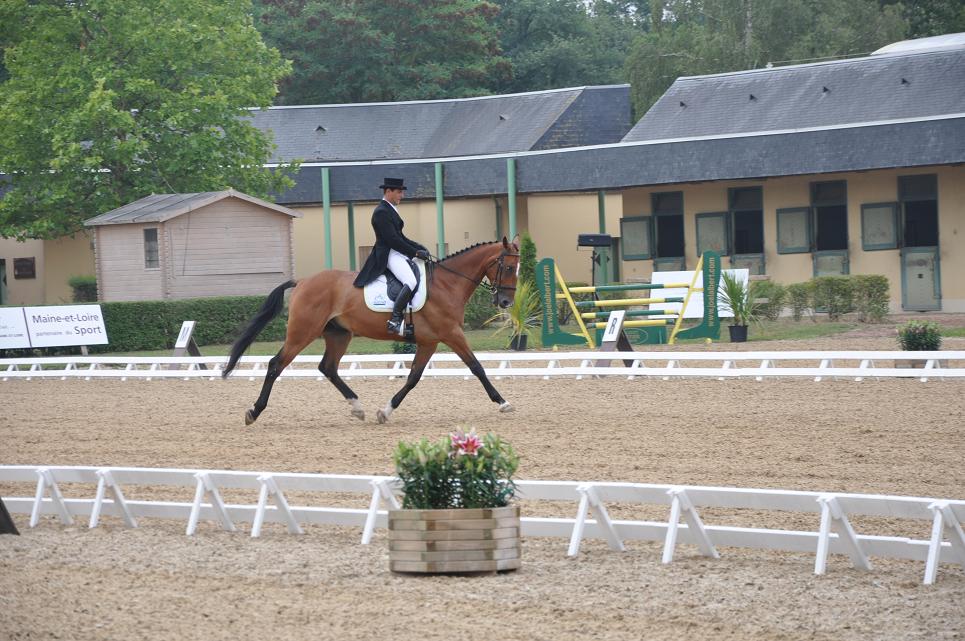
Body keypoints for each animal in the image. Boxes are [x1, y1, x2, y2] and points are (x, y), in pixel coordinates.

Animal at [222, 238, 520, 422]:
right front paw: (503, 403)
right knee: (276, 364)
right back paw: (254, 411)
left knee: (328, 367)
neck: (448, 283)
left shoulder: (429, 341)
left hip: (339, 334)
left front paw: (385, 412)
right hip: (303, 332)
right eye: (507, 266)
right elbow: (477, 367)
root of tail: (304, 281)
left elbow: (413, 377)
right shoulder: (451, 334)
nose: (506, 302)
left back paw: (357, 407)